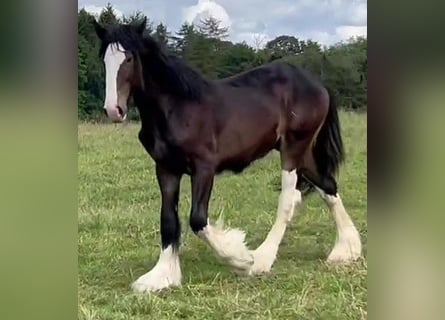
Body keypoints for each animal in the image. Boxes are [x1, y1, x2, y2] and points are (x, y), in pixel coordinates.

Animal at [93, 17, 360, 292]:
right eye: (104, 58)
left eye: (128, 58)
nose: (114, 110)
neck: (177, 107)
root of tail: (317, 84)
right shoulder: (166, 168)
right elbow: (168, 219)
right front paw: (161, 276)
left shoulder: (203, 168)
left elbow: (198, 220)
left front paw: (240, 258)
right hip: (303, 155)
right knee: (328, 186)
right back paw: (346, 250)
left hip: (293, 149)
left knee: (288, 199)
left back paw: (261, 259)